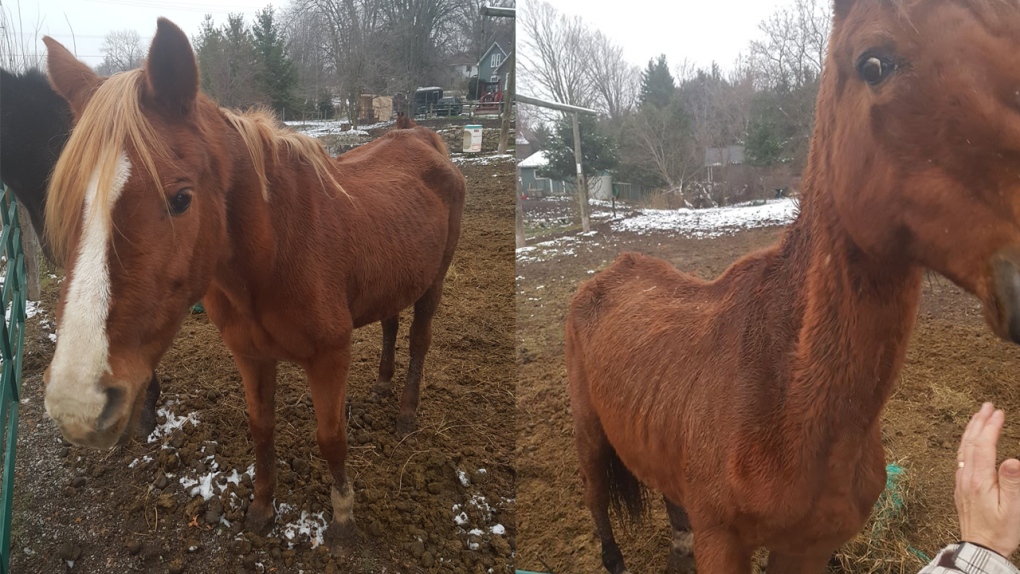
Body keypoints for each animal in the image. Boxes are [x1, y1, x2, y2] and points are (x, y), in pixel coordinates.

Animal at [43, 19, 465, 546]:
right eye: (67, 200)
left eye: (181, 199)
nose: (77, 404)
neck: (277, 252)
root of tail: (424, 140)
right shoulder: (251, 355)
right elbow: (261, 430)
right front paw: (262, 508)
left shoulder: (330, 357)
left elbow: (332, 437)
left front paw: (343, 517)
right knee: (390, 323)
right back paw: (384, 385)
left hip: (434, 282)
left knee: (418, 339)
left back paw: (407, 412)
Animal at [571, 0, 1020, 570]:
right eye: (873, 64)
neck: (782, 393)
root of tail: (607, 274)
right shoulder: (722, 541)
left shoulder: (809, 547)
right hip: (588, 430)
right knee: (594, 493)